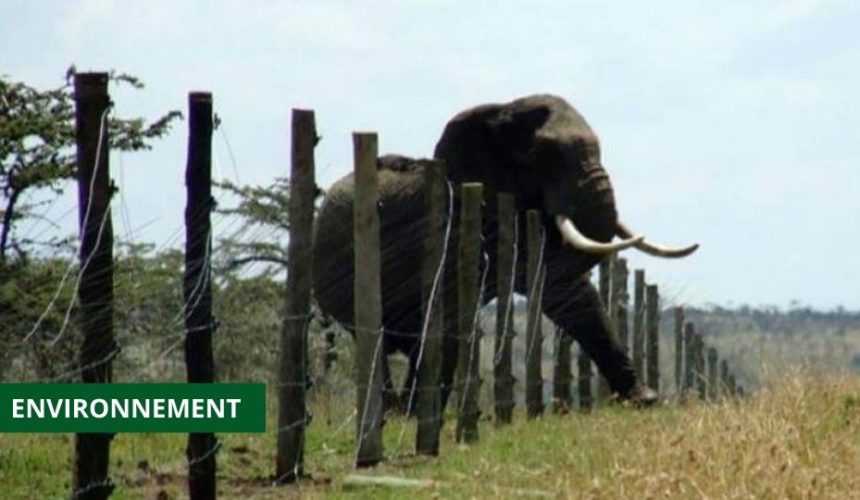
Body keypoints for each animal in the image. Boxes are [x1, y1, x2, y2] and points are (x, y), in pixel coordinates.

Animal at [312, 94, 697, 412]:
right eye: (545, 158)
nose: (649, 398)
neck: (498, 110)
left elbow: (567, 291)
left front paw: (643, 400)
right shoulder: (452, 224)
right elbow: (448, 313)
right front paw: (418, 414)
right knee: (371, 336)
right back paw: (392, 413)